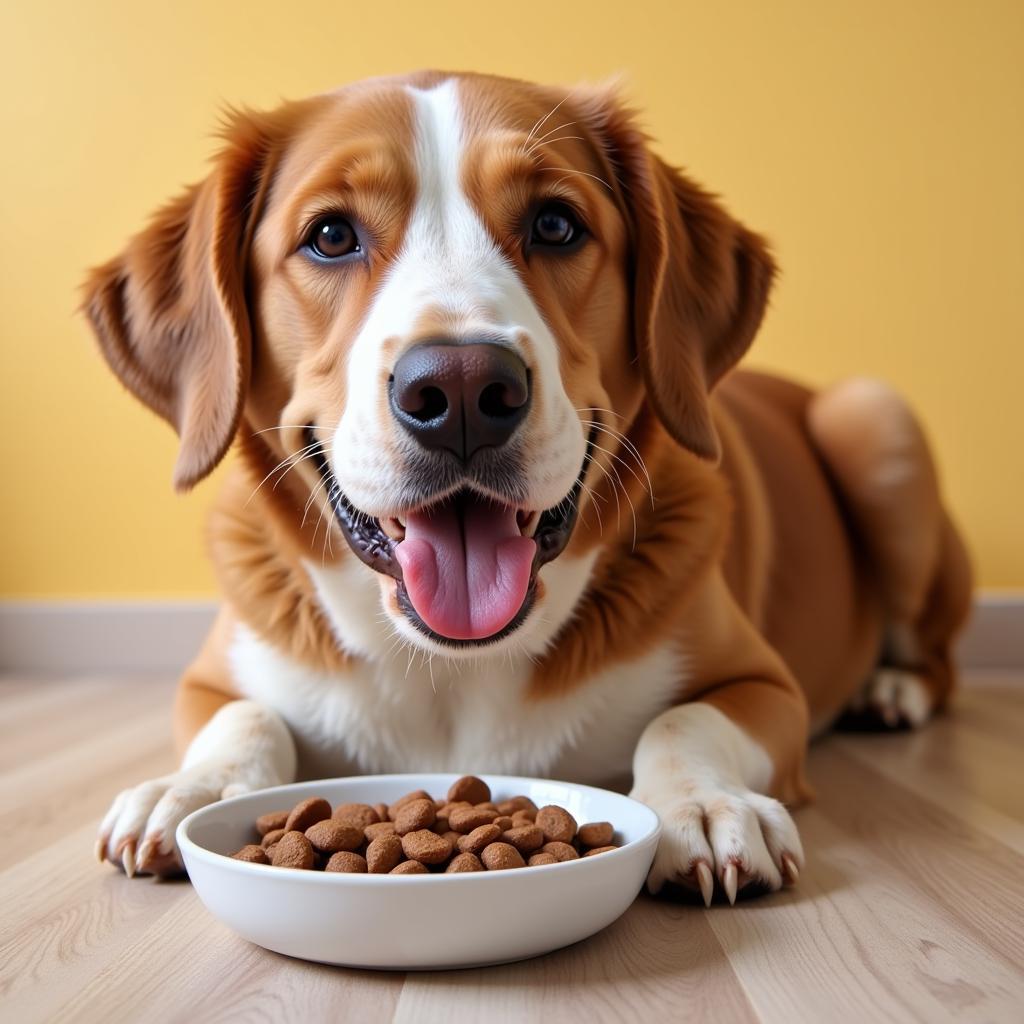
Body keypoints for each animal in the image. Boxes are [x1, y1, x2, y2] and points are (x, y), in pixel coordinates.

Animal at [83, 70, 970, 905]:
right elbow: (245, 716)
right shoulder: (209, 682)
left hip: (874, 418)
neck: (452, 669)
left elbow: (683, 722)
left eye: (555, 224)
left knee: (937, 657)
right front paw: (189, 787)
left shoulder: (765, 684)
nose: (462, 390)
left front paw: (706, 804)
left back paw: (892, 690)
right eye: (330, 235)